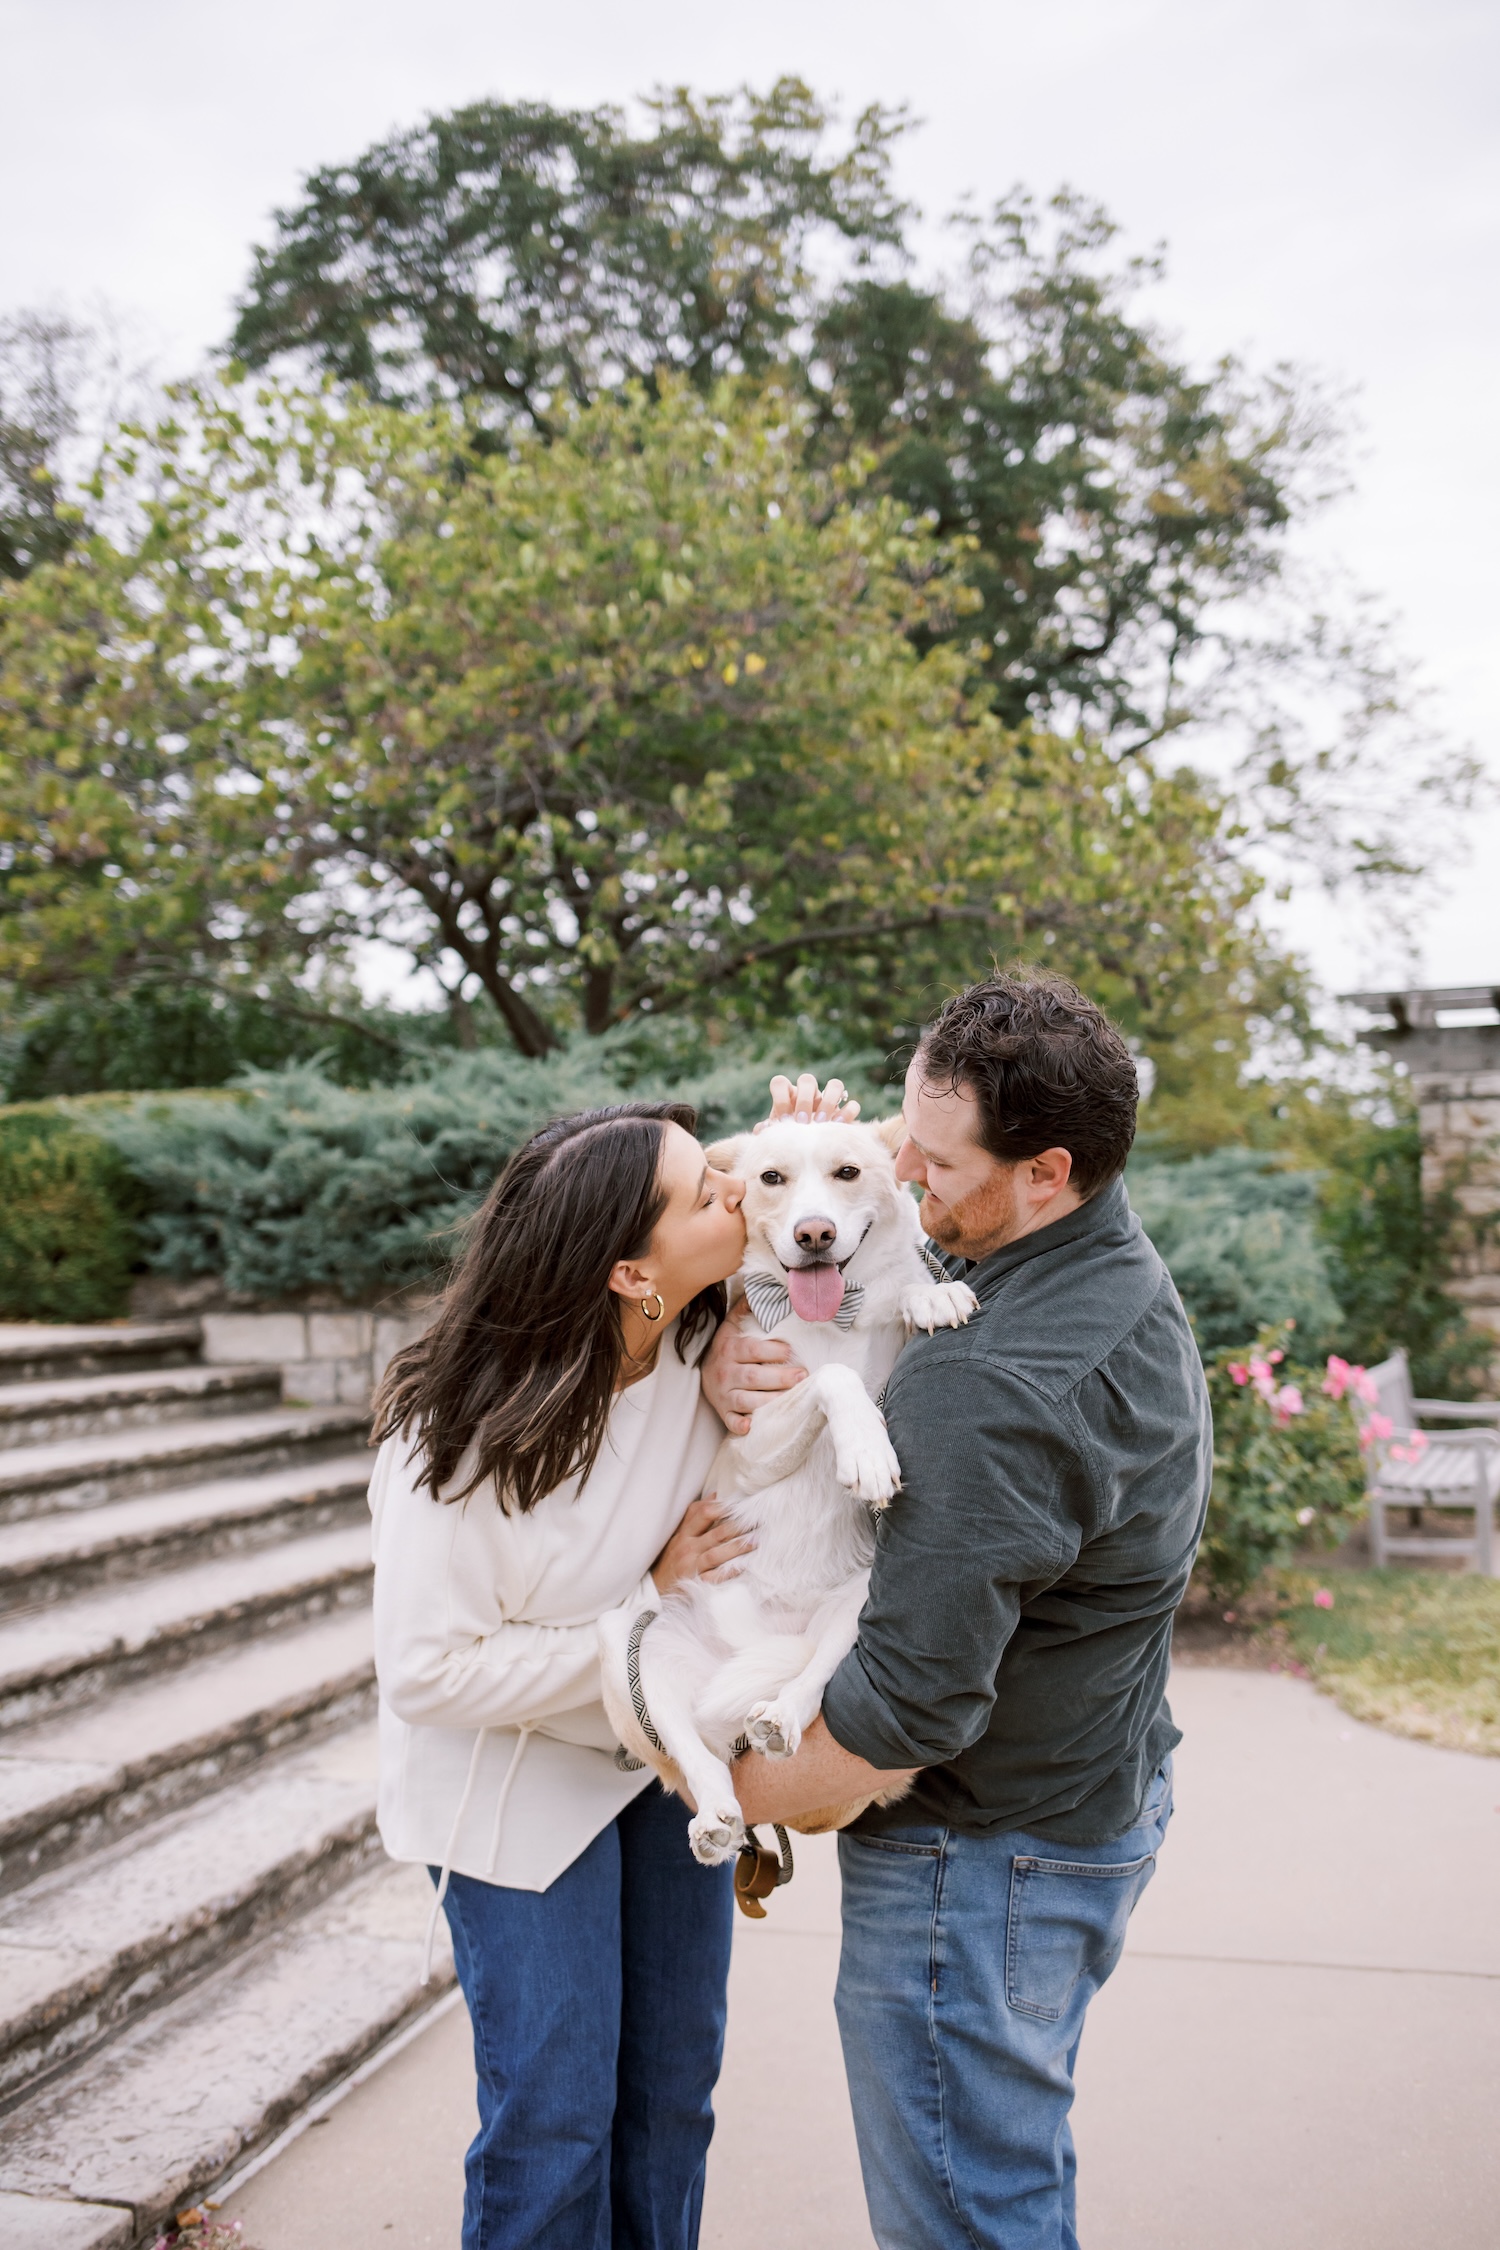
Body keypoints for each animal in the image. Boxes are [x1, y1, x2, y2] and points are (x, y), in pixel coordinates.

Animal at [602, 1111, 980, 1863]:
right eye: (771, 1179)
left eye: (848, 1173)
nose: (814, 1235)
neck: (828, 1319)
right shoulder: (751, 1446)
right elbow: (832, 1381)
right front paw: (865, 1448)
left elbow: (899, 1293)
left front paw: (933, 1291)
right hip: (631, 1640)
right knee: (692, 1757)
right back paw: (715, 1816)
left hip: (864, 1601)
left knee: (809, 1683)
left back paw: (777, 1717)